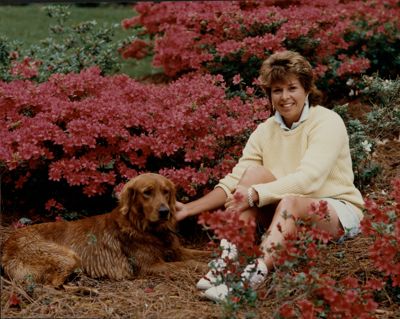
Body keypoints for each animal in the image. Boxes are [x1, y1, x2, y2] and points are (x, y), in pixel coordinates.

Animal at [2, 175, 209, 288]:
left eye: (166, 191)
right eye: (147, 192)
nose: (165, 211)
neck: (145, 227)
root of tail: (6, 244)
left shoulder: (177, 250)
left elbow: (201, 254)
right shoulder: (152, 266)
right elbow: (190, 264)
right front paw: (208, 268)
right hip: (67, 256)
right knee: (52, 285)